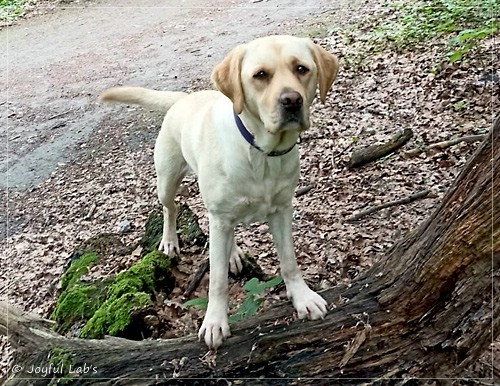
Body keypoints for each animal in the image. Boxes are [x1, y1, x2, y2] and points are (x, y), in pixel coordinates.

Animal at [99, 35, 338, 350]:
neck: (260, 151)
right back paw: (170, 241)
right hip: (168, 181)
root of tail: (183, 98)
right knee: (169, 208)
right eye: (260, 75)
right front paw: (214, 322)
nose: (292, 101)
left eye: (302, 68)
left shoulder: (282, 209)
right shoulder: (219, 217)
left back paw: (233, 252)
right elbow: (217, 280)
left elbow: (289, 261)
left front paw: (303, 298)